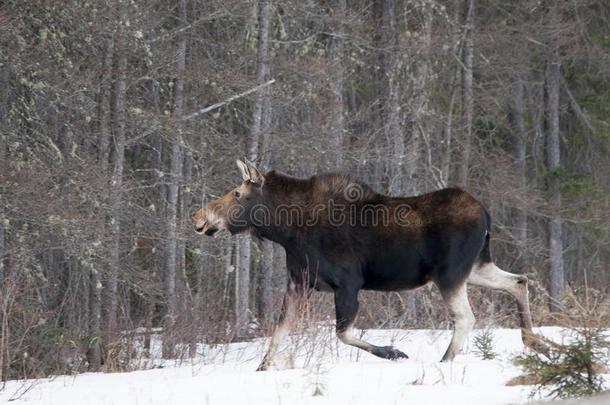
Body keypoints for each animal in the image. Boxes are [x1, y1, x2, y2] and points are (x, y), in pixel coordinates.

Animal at [191, 160, 540, 370]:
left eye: (237, 193)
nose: (200, 217)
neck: (286, 231)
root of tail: (487, 214)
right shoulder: (299, 282)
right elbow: (279, 331)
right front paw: (262, 368)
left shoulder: (347, 283)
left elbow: (342, 332)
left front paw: (394, 352)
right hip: (475, 267)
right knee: (519, 280)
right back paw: (532, 341)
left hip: (450, 273)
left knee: (466, 317)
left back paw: (445, 361)